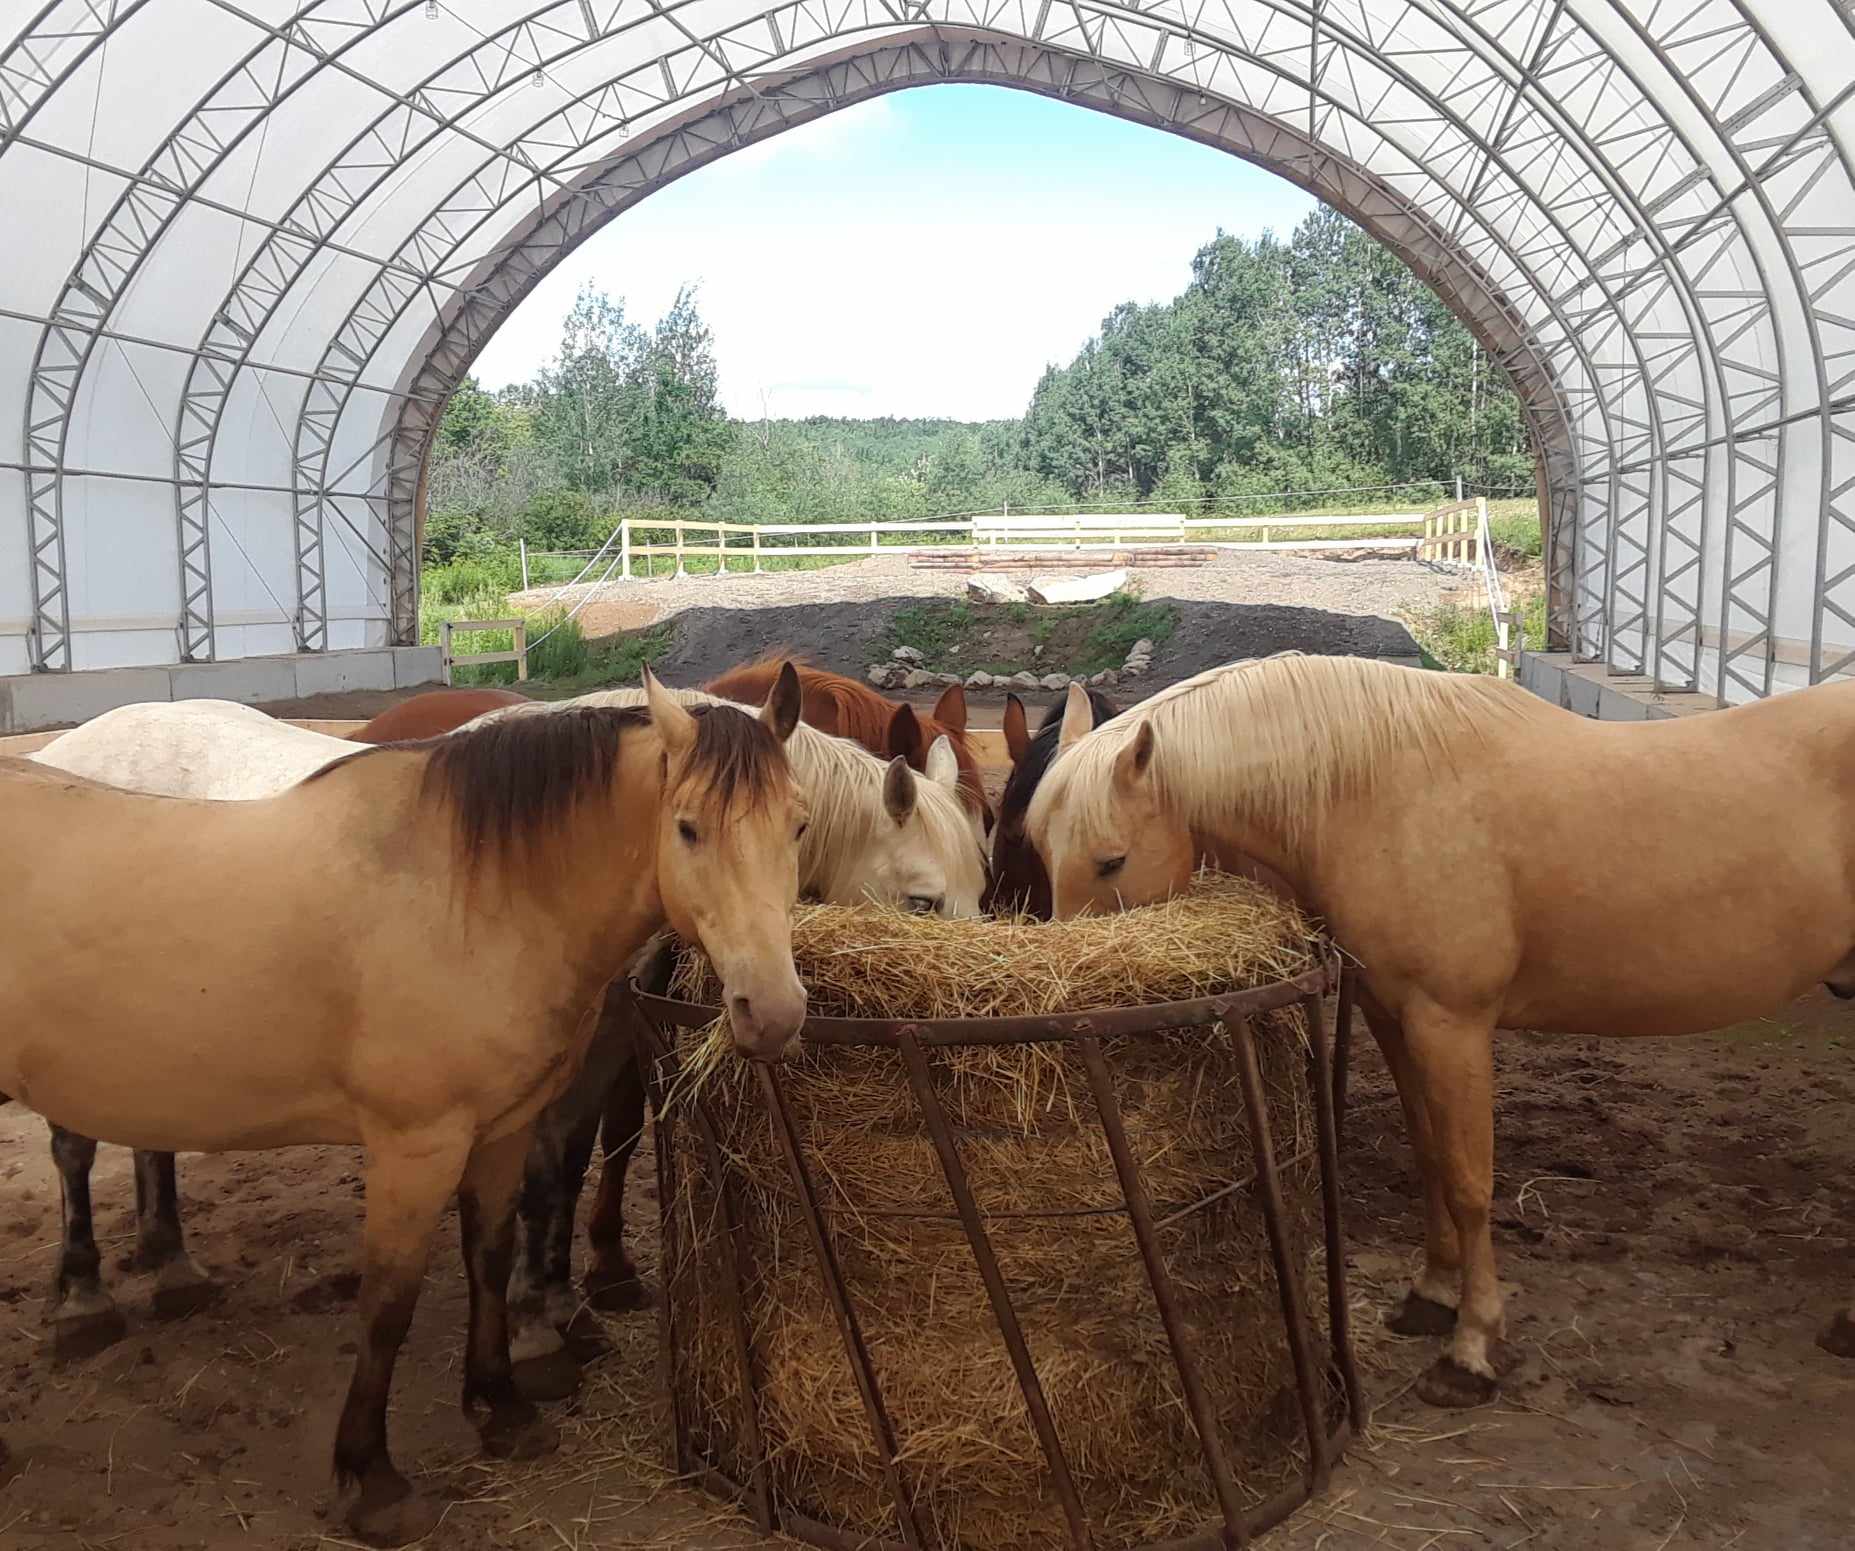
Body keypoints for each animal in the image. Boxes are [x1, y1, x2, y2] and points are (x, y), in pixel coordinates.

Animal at [1027, 654, 1855, 1409]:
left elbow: (1466, 1180)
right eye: (1038, 848)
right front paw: (1430, 1296)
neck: (1379, 792)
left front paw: (1471, 1349)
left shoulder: (1450, 1024)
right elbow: (1426, 1155)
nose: (1068, 1001)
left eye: (1111, 860)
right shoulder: (1393, 1018)